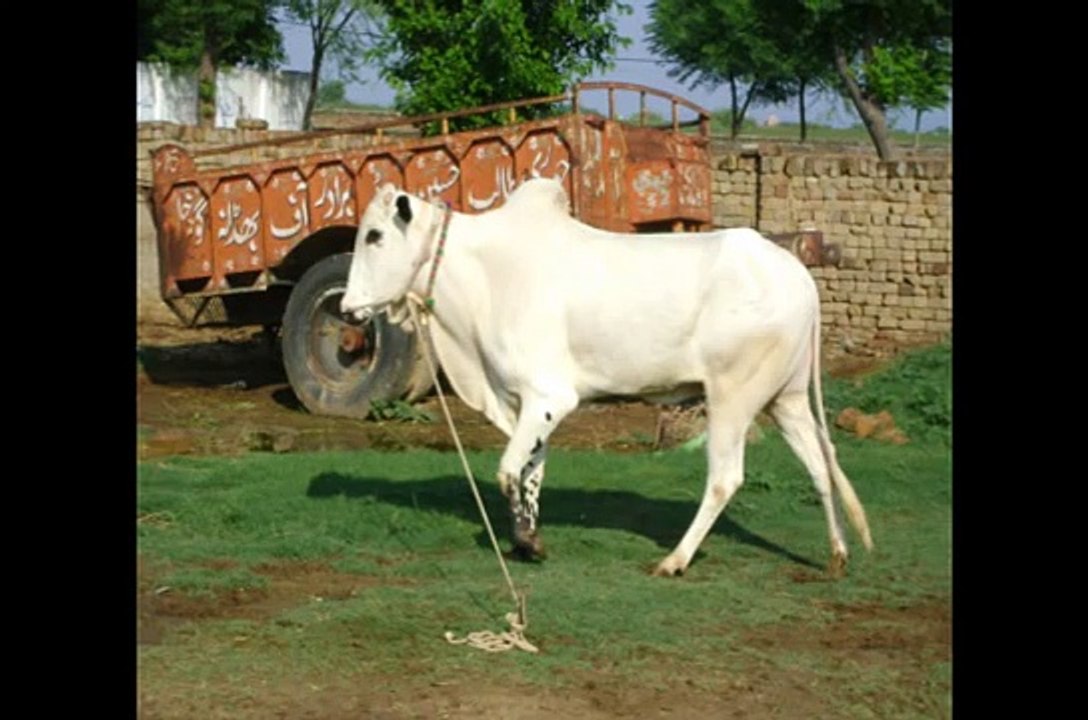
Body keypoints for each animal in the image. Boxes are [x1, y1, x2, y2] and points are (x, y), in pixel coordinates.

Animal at [341, 178, 873, 577]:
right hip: (786, 398)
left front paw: (528, 543)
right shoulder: (524, 404)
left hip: (732, 397)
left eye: (374, 236)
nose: (347, 310)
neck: (486, 276)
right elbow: (531, 473)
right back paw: (837, 553)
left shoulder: (549, 396)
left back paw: (675, 560)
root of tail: (797, 273)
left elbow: (509, 471)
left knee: (726, 479)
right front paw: (527, 540)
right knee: (820, 465)